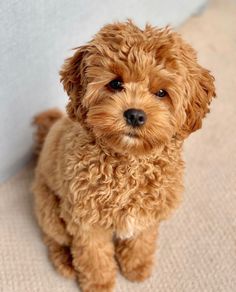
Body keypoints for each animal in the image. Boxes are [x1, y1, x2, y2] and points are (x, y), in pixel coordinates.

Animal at [31, 21, 216, 292]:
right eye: (116, 84)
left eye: (161, 92)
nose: (135, 115)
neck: (128, 162)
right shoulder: (86, 222)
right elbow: (93, 255)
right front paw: (98, 283)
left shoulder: (147, 215)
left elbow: (141, 242)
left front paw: (136, 267)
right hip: (51, 211)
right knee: (53, 237)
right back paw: (65, 262)